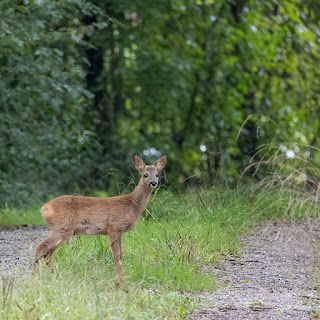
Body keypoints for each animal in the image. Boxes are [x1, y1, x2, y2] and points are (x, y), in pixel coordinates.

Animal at [34, 154, 168, 282]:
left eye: (157, 174)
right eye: (145, 174)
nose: (153, 183)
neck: (131, 204)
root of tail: (44, 208)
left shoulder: (118, 231)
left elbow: (120, 255)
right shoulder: (114, 227)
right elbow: (117, 256)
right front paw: (119, 283)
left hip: (61, 229)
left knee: (48, 253)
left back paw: (54, 277)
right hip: (62, 227)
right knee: (41, 247)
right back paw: (36, 279)